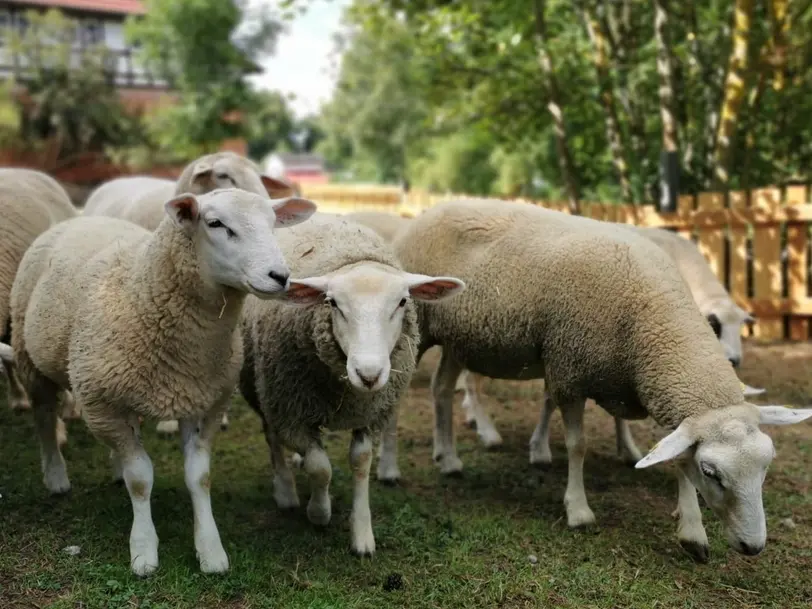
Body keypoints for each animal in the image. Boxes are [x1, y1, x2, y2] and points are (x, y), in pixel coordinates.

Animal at [7, 186, 318, 576]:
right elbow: (141, 479)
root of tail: (82, 218)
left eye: (273, 223)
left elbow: (199, 477)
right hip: (30, 357)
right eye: (215, 223)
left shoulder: (202, 402)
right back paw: (56, 476)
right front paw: (143, 550)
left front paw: (210, 550)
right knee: (44, 416)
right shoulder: (103, 401)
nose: (279, 276)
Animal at [238, 213, 464, 556]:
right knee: (272, 436)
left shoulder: (370, 414)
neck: (348, 395)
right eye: (332, 303)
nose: (368, 374)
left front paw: (362, 534)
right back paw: (286, 491)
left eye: (402, 302)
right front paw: (319, 513)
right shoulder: (291, 412)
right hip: (264, 389)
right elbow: (320, 467)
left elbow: (360, 462)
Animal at [384, 197, 808, 560]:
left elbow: (674, 457)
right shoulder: (569, 371)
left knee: (441, 389)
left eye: (767, 463)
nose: (753, 547)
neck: (654, 317)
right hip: (416, 328)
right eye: (712, 472)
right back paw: (390, 469)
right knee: (397, 397)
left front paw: (692, 531)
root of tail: (431, 210)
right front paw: (578, 509)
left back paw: (449, 458)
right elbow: (578, 446)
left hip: (458, 339)